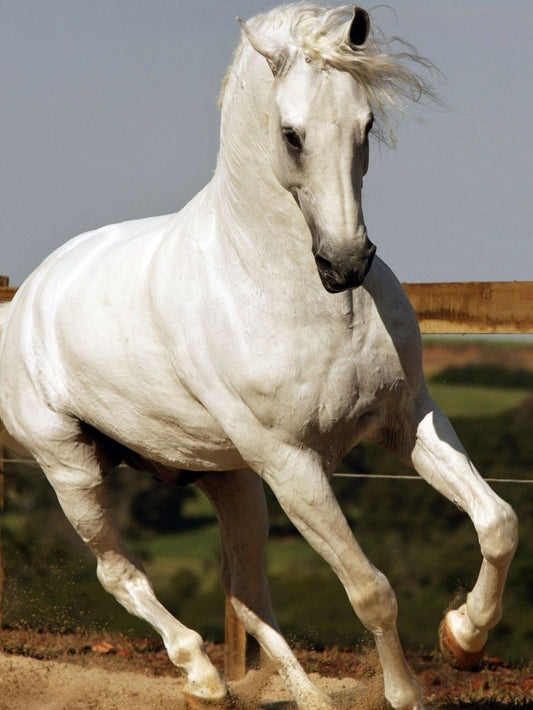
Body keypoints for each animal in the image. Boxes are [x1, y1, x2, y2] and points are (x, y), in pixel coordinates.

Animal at [0, 5, 518, 709]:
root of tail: (27, 297)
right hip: (73, 470)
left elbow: (498, 522)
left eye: (367, 124)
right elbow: (371, 590)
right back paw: (202, 677)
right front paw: (406, 694)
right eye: (291, 135)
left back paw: (301, 697)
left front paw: (462, 639)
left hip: (229, 479)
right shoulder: (291, 464)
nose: (345, 264)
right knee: (121, 575)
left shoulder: (407, 418)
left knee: (244, 591)